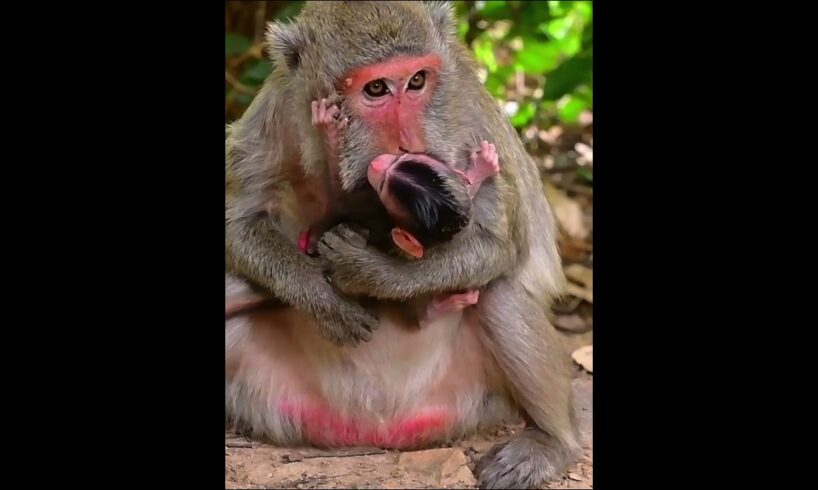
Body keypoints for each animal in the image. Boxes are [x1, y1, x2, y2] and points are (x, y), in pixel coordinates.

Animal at [225, 2, 582, 488]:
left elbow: (496, 247)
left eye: (417, 81)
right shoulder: (277, 105)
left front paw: (365, 272)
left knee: (498, 290)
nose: (408, 140)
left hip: (479, 400)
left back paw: (554, 443)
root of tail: (380, 429)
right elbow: (238, 225)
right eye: (376, 88)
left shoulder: (467, 117)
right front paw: (324, 298)